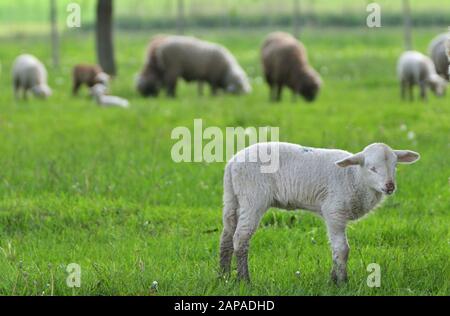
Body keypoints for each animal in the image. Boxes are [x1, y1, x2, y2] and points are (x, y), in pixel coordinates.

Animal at [220, 142, 420, 282]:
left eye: (395, 166)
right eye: (372, 168)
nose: (390, 186)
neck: (354, 177)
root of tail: (232, 163)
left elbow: (335, 248)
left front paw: (333, 279)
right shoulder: (334, 210)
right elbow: (342, 249)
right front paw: (342, 282)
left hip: (232, 196)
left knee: (227, 236)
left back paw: (223, 276)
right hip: (253, 196)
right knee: (241, 238)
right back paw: (244, 280)